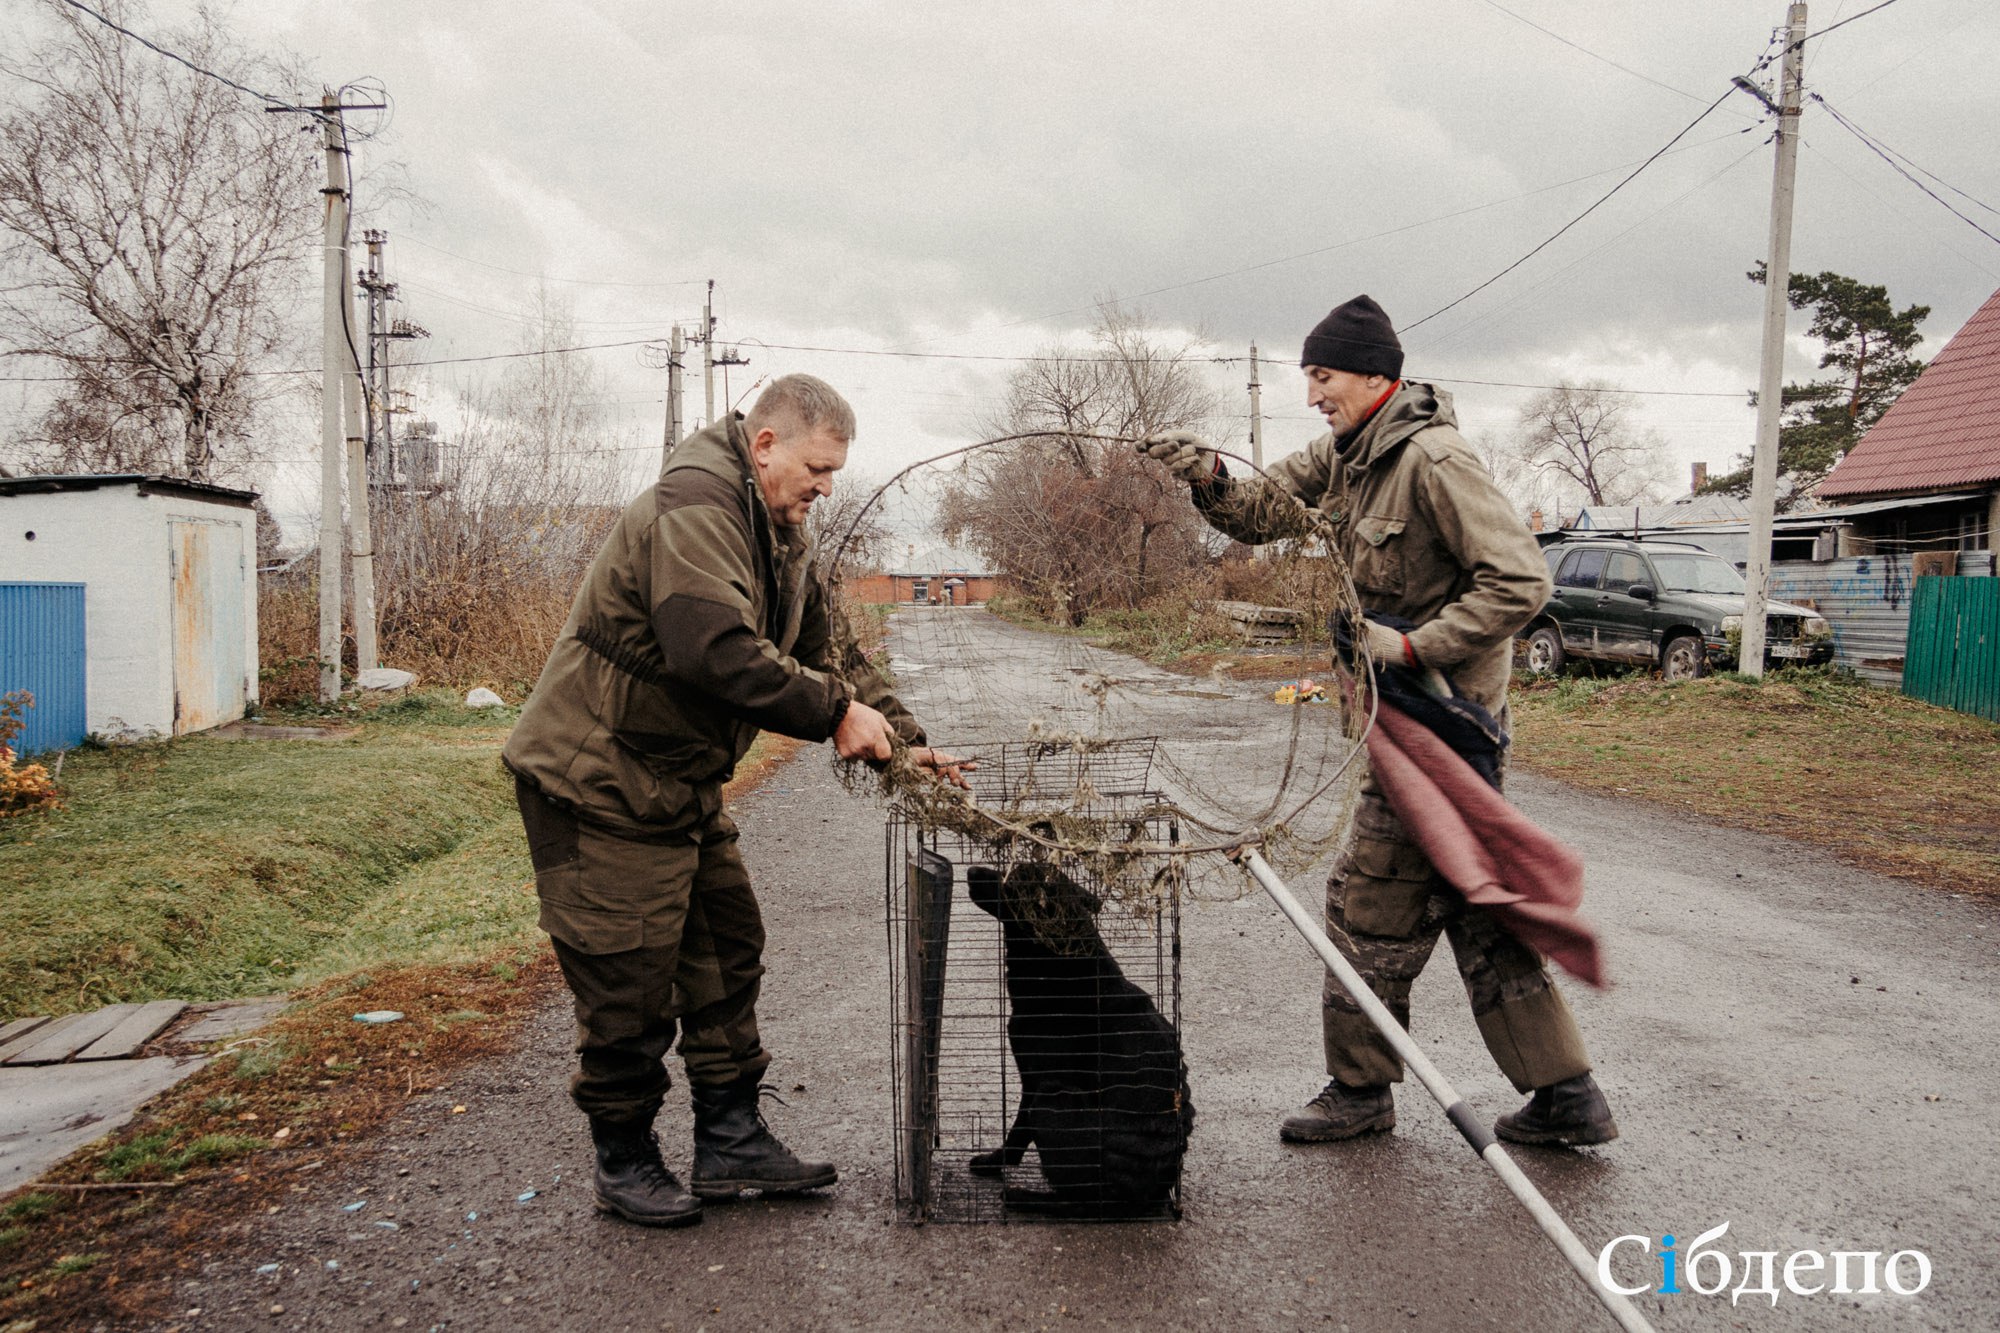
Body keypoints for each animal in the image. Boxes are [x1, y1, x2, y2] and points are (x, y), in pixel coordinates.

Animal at [964, 856, 1192, 1208]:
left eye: (1013, 881)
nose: (971, 871)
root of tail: (1141, 1197)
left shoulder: (1038, 1079)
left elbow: (1017, 1131)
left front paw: (994, 1162)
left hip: (1053, 1097)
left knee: (1076, 1199)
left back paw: (1024, 1197)